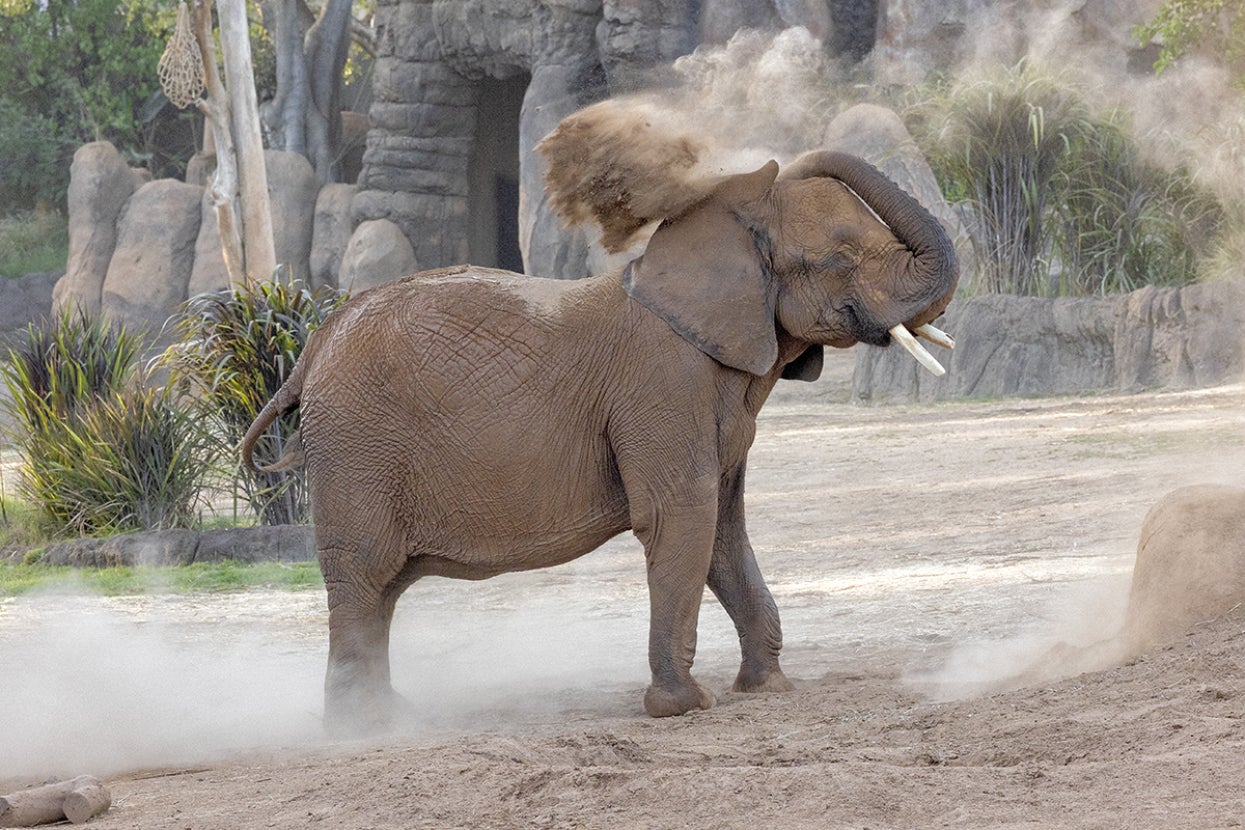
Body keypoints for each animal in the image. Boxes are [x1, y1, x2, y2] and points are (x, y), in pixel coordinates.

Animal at [242, 104, 960, 733]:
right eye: (840, 258)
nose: (783, 159)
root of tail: (313, 350)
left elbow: (723, 528)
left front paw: (766, 689)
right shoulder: (662, 387)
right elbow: (681, 517)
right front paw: (685, 708)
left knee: (381, 592)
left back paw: (392, 718)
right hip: (357, 446)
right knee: (364, 580)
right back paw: (362, 729)